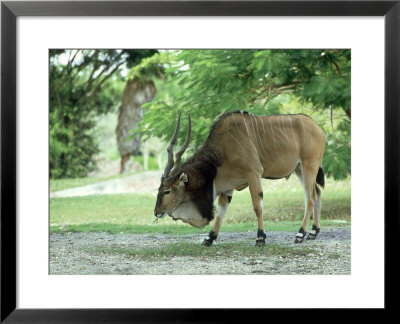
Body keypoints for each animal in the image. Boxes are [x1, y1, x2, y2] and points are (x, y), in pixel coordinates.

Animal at [153, 111, 324, 246]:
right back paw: (313, 232)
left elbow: (257, 206)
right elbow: (221, 211)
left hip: (309, 166)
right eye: (159, 190)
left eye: (167, 191)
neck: (223, 149)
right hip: (299, 170)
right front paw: (209, 238)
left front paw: (260, 238)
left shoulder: (253, 173)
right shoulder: (227, 186)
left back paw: (300, 234)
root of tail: (318, 128)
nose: (156, 212)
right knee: (317, 194)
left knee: (310, 198)